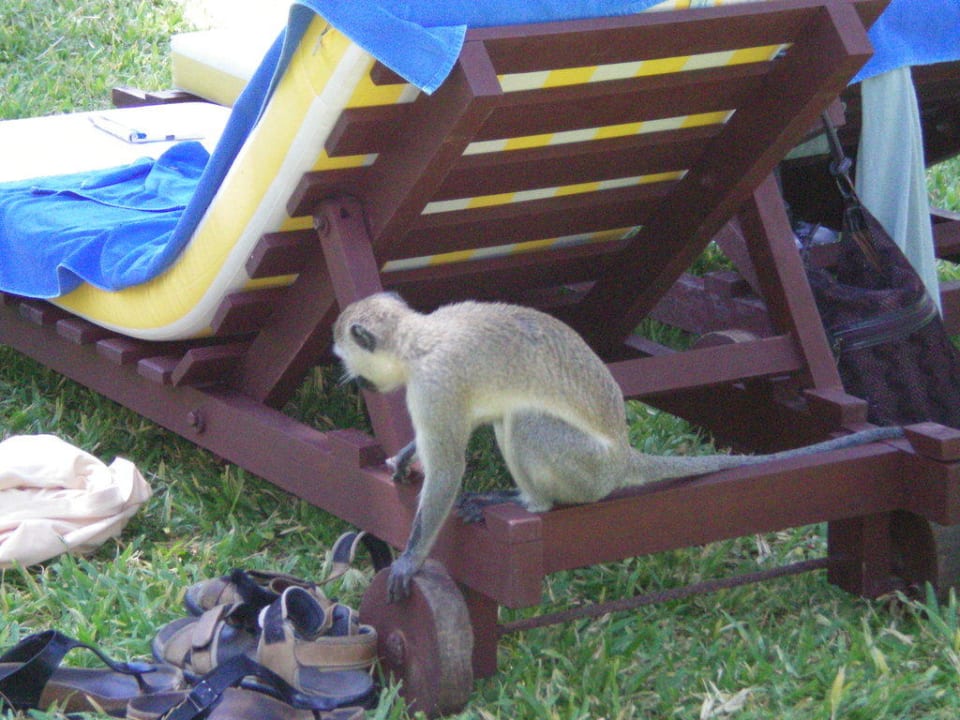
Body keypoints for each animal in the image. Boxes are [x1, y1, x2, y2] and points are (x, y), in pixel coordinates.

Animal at [332, 293, 904, 602]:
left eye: (345, 358)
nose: (353, 381)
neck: (416, 340)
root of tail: (624, 455)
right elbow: (467, 426)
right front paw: (407, 455)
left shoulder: (436, 382)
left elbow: (450, 466)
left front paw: (409, 560)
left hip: (586, 468)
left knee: (525, 422)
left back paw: (527, 503)